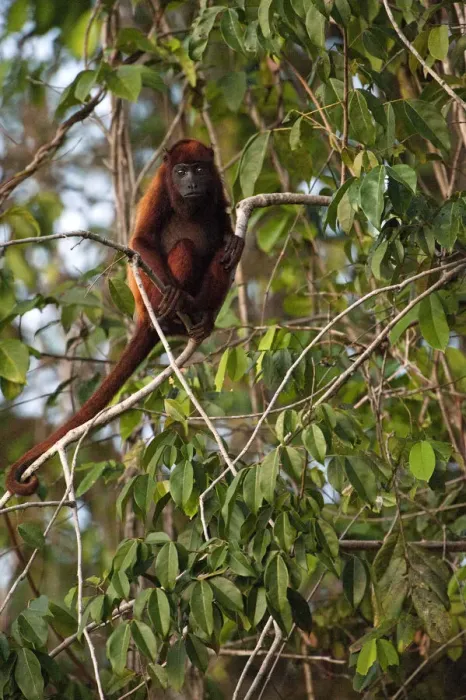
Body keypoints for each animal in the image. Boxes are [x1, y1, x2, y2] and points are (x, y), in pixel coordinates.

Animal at [5, 139, 244, 496]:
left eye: (199, 169)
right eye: (180, 172)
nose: (190, 183)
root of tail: (146, 318)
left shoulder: (216, 184)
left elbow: (225, 227)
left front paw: (234, 240)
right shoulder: (160, 188)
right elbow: (141, 239)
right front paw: (174, 288)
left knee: (221, 257)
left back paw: (203, 315)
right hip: (152, 300)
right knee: (185, 247)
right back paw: (180, 304)